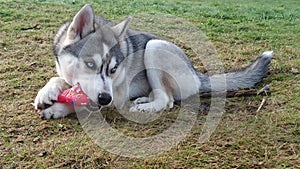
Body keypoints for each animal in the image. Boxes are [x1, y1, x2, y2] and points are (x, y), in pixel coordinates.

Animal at [34, 4, 274, 119]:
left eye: (114, 69)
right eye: (90, 64)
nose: (105, 98)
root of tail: (197, 73)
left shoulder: (114, 94)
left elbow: (83, 103)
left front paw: (58, 108)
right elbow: (58, 79)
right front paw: (47, 93)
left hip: (154, 47)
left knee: (166, 100)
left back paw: (143, 107)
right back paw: (143, 99)